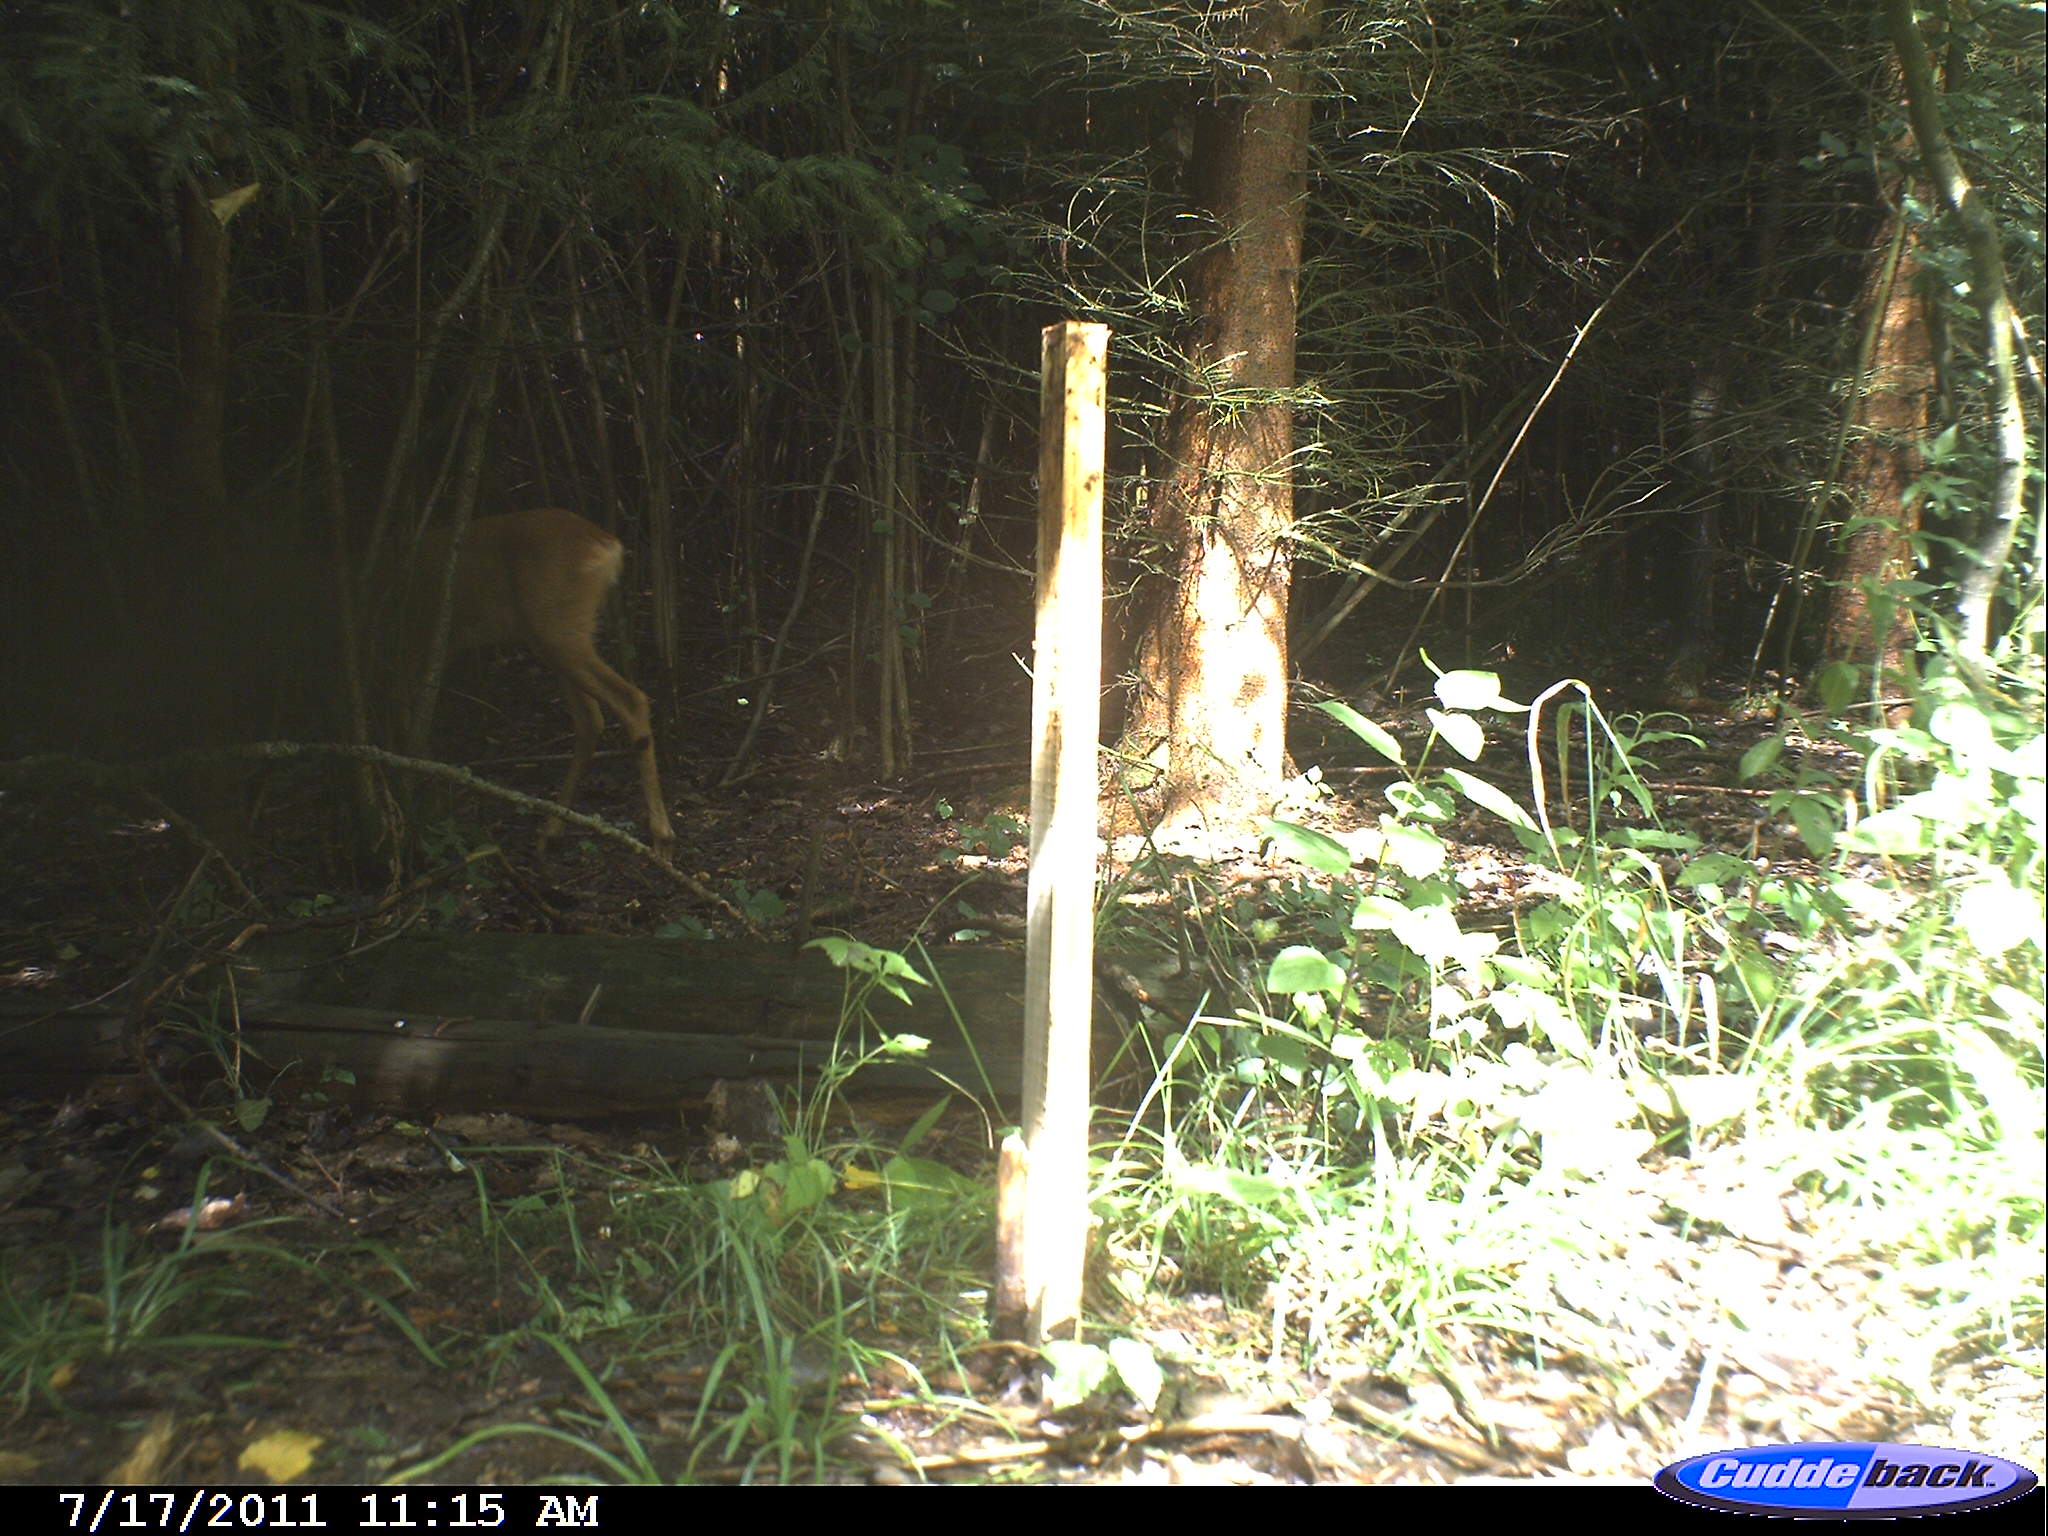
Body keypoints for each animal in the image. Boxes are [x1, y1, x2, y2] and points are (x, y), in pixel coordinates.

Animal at [421, 508, 674, 862]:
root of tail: (607, 544)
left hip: (556, 627)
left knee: (628, 700)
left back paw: (661, 838)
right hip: (559, 633)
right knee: (590, 720)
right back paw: (550, 831)